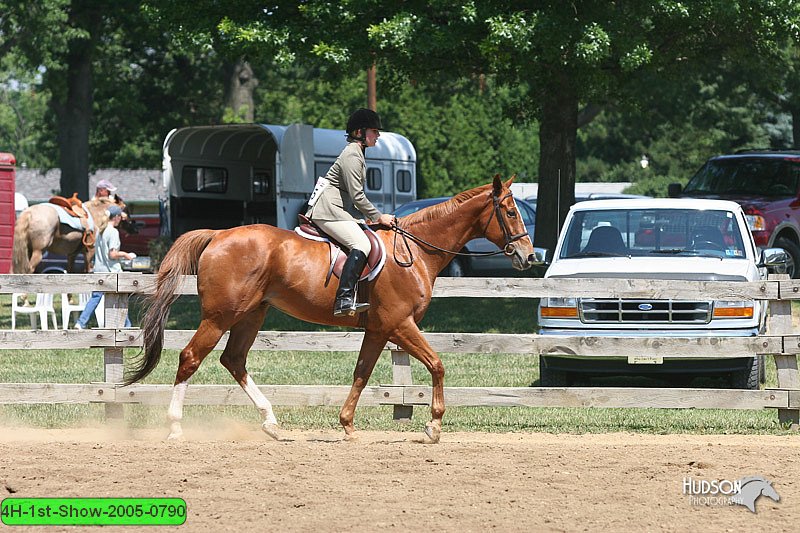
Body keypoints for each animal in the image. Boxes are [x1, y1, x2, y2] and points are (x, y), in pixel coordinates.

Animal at [128, 175, 536, 440]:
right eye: (510, 212)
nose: (529, 256)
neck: (416, 250)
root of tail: (218, 234)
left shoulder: (379, 329)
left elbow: (362, 373)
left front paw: (347, 424)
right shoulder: (400, 323)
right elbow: (437, 364)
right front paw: (433, 426)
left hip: (251, 314)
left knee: (234, 360)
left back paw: (271, 422)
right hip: (220, 316)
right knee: (191, 357)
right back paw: (175, 426)